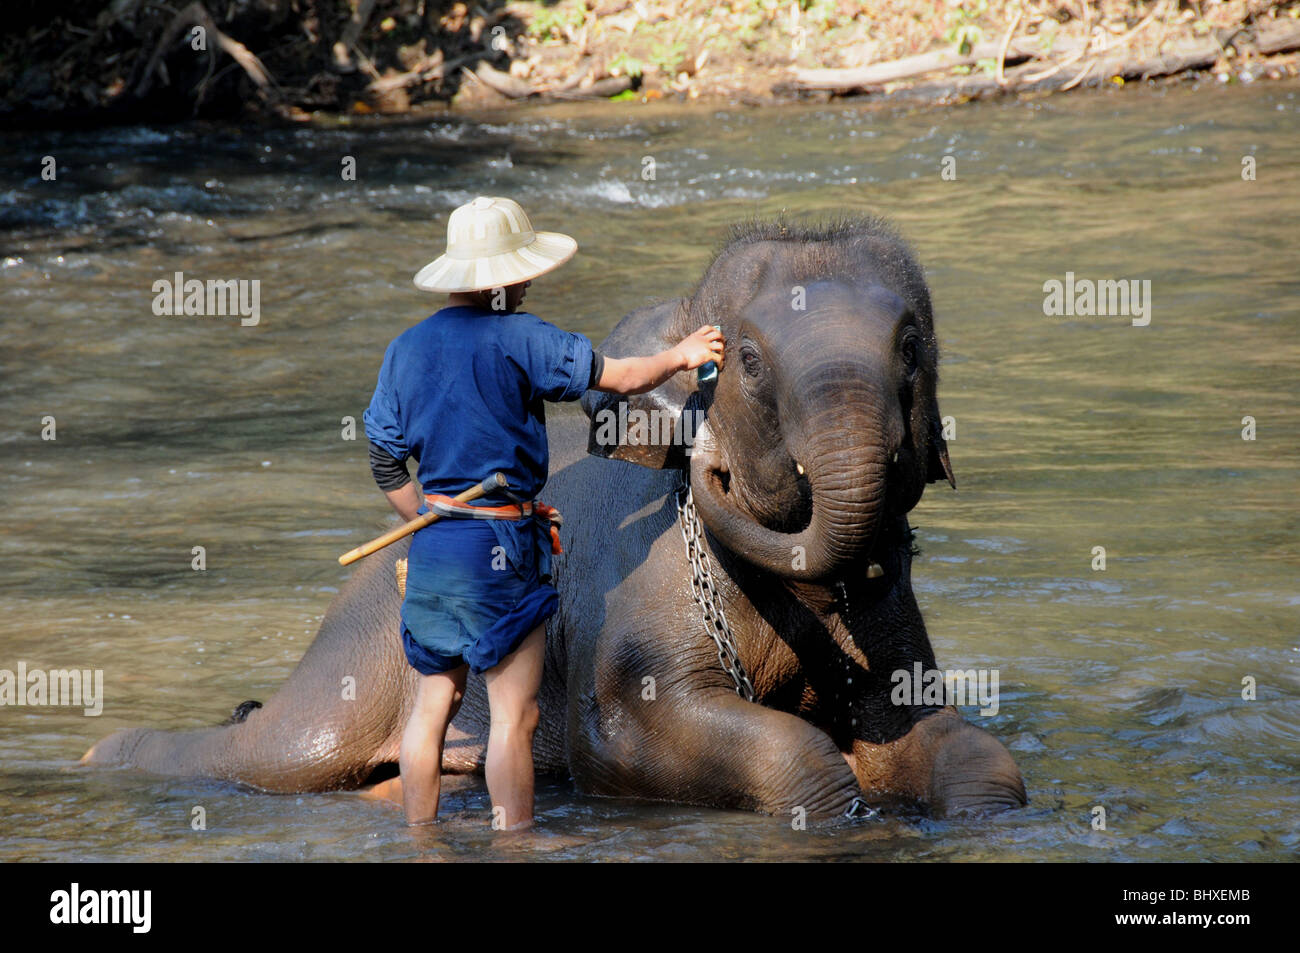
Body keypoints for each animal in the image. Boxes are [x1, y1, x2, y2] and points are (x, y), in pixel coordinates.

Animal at [86, 215, 1029, 816]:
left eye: (911, 348)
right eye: (751, 361)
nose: (711, 464)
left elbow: (946, 740)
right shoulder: (641, 592)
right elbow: (625, 734)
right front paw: (834, 802)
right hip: (357, 651)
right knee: (279, 750)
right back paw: (106, 754)